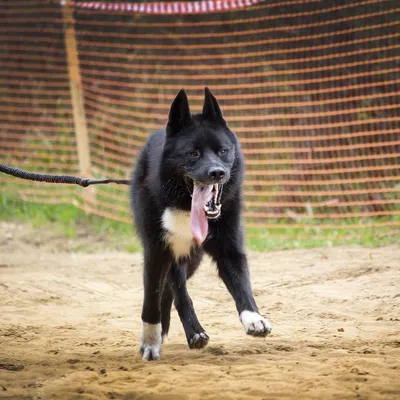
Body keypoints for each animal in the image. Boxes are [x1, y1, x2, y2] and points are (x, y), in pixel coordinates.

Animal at [131, 89, 272, 360]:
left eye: (223, 151)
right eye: (193, 153)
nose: (217, 172)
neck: (188, 207)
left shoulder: (229, 250)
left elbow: (242, 285)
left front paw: (254, 318)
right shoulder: (157, 252)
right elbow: (151, 297)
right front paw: (150, 342)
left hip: (192, 259)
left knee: (172, 291)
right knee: (175, 291)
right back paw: (190, 332)